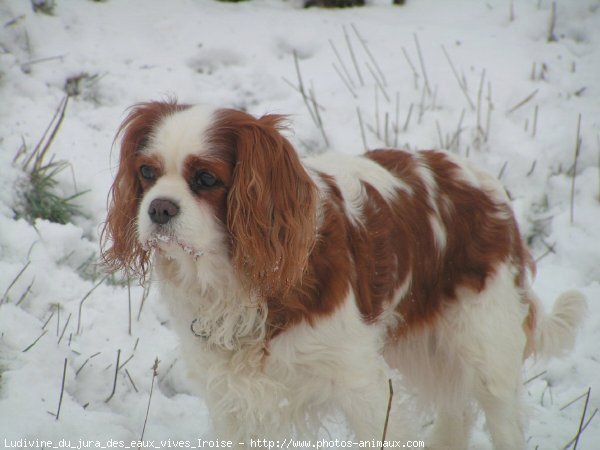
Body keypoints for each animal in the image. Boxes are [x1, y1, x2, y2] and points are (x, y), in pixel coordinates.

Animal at [102, 100, 584, 448]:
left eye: (205, 178)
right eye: (147, 172)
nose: (159, 209)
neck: (236, 280)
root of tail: (485, 182)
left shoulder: (364, 388)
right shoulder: (233, 400)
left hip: (488, 349)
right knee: (457, 411)